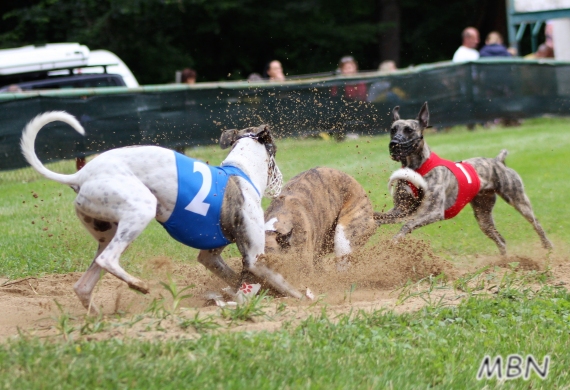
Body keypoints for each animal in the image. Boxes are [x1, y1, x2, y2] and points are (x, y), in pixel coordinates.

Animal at [21, 111, 302, 312]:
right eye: (275, 151)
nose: (281, 181)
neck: (240, 172)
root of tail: (80, 174)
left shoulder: (211, 256)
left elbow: (234, 279)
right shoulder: (255, 257)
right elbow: (287, 285)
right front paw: (305, 297)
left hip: (106, 231)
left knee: (83, 285)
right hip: (139, 208)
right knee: (107, 260)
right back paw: (138, 285)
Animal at [372, 102, 552, 254]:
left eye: (409, 130)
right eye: (393, 129)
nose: (394, 144)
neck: (418, 167)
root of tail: (498, 161)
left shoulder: (433, 212)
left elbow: (407, 225)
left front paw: (394, 241)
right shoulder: (401, 209)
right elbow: (379, 217)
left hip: (519, 201)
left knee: (536, 223)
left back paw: (547, 246)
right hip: (483, 216)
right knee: (500, 240)